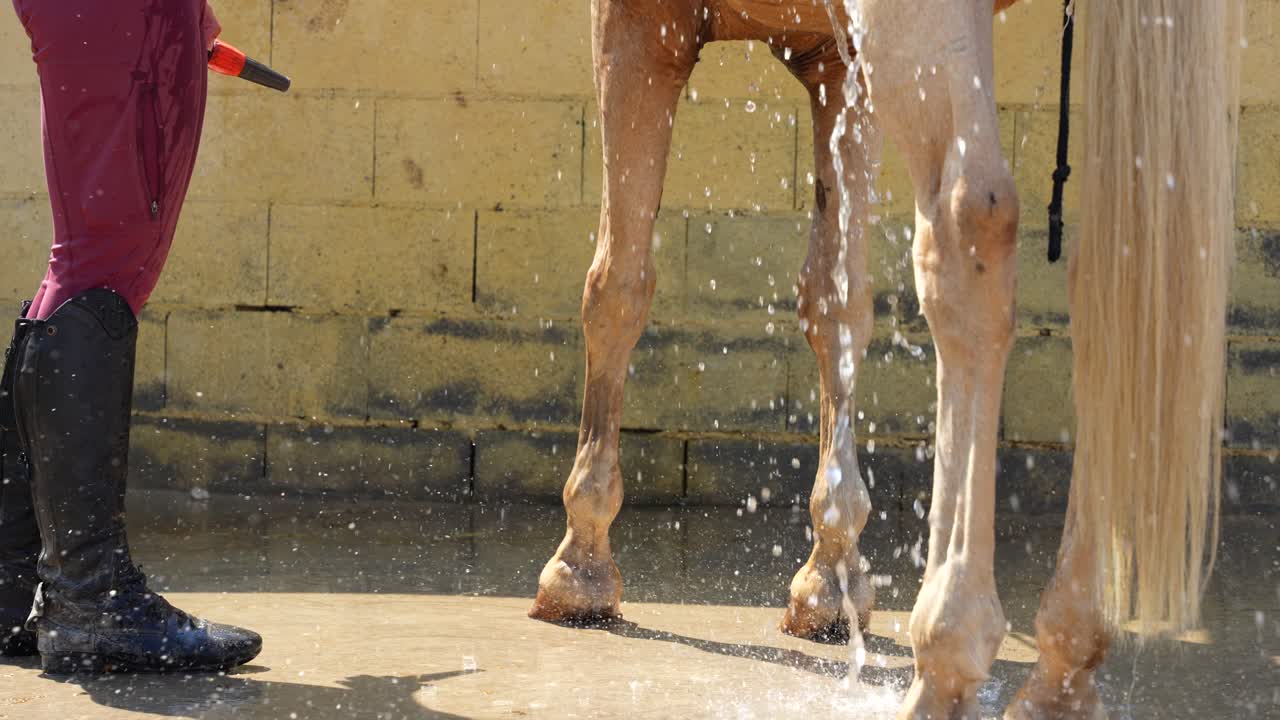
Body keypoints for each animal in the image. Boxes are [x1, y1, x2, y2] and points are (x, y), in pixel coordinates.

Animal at [529, 2, 1241, 718]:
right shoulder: (835, 60)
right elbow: (835, 302)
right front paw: (829, 579)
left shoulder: (639, 24)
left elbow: (616, 285)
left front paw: (580, 564)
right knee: (1120, 278)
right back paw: (1062, 670)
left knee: (972, 224)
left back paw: (947, 655)